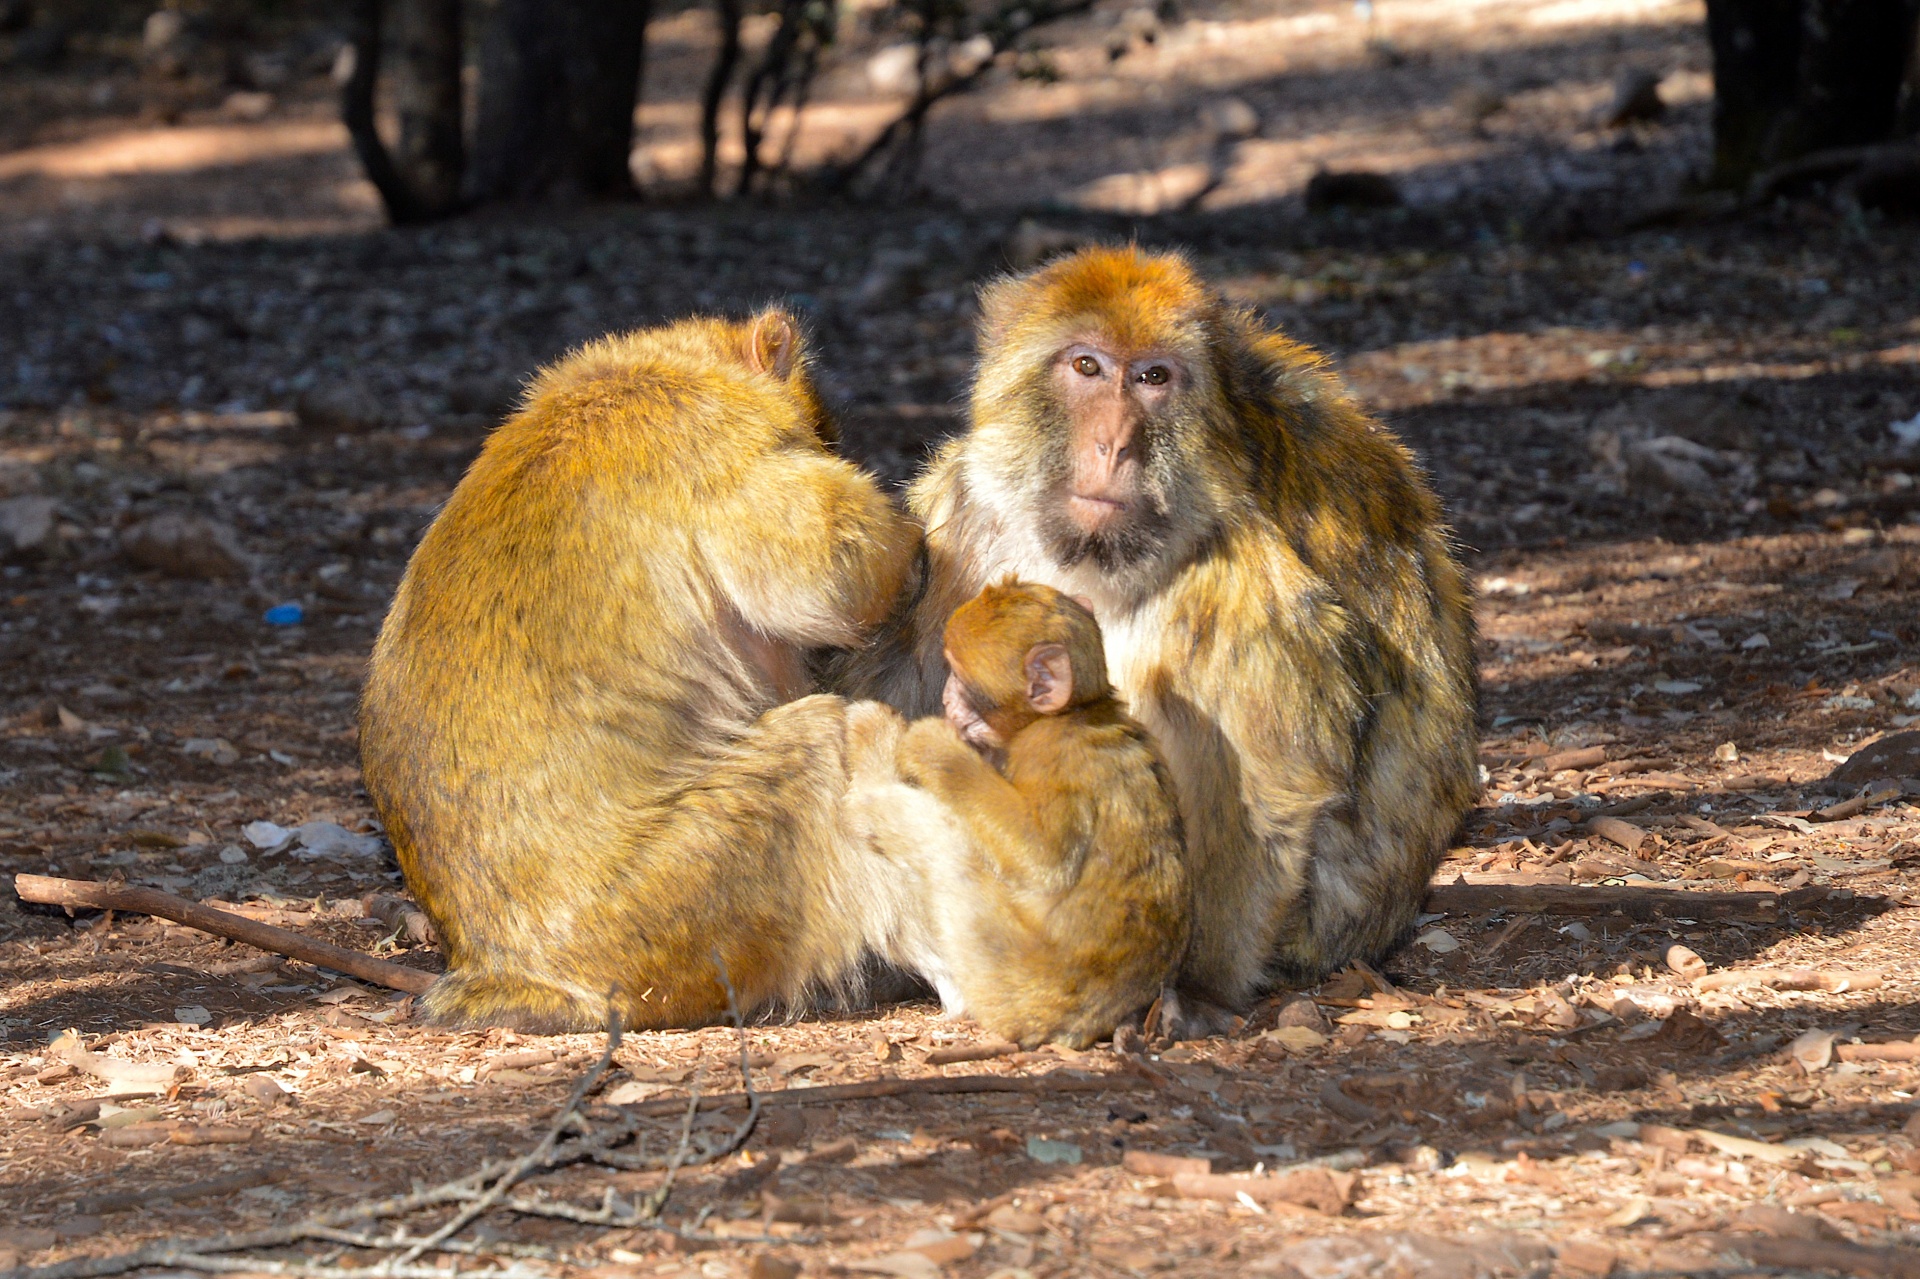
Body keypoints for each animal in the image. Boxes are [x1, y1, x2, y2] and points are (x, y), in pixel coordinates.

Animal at [894, 576, 1190, 1044]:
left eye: (958, 676)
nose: (944, 697)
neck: (1076, 711)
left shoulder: (1046, 751)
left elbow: (1043, 861)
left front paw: (936, 749)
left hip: (1007, 975)